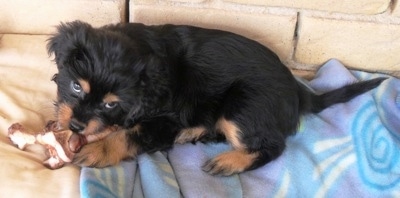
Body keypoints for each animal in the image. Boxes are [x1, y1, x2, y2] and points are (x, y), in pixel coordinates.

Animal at [47, 21, 388, 176]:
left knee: (273, 146)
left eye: (111, 104)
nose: (76, 126)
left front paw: (97, 150)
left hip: (242, 106)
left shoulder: (163, 120)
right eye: (76, 86)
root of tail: (298, 91)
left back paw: (229, 161)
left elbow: (128, 134)